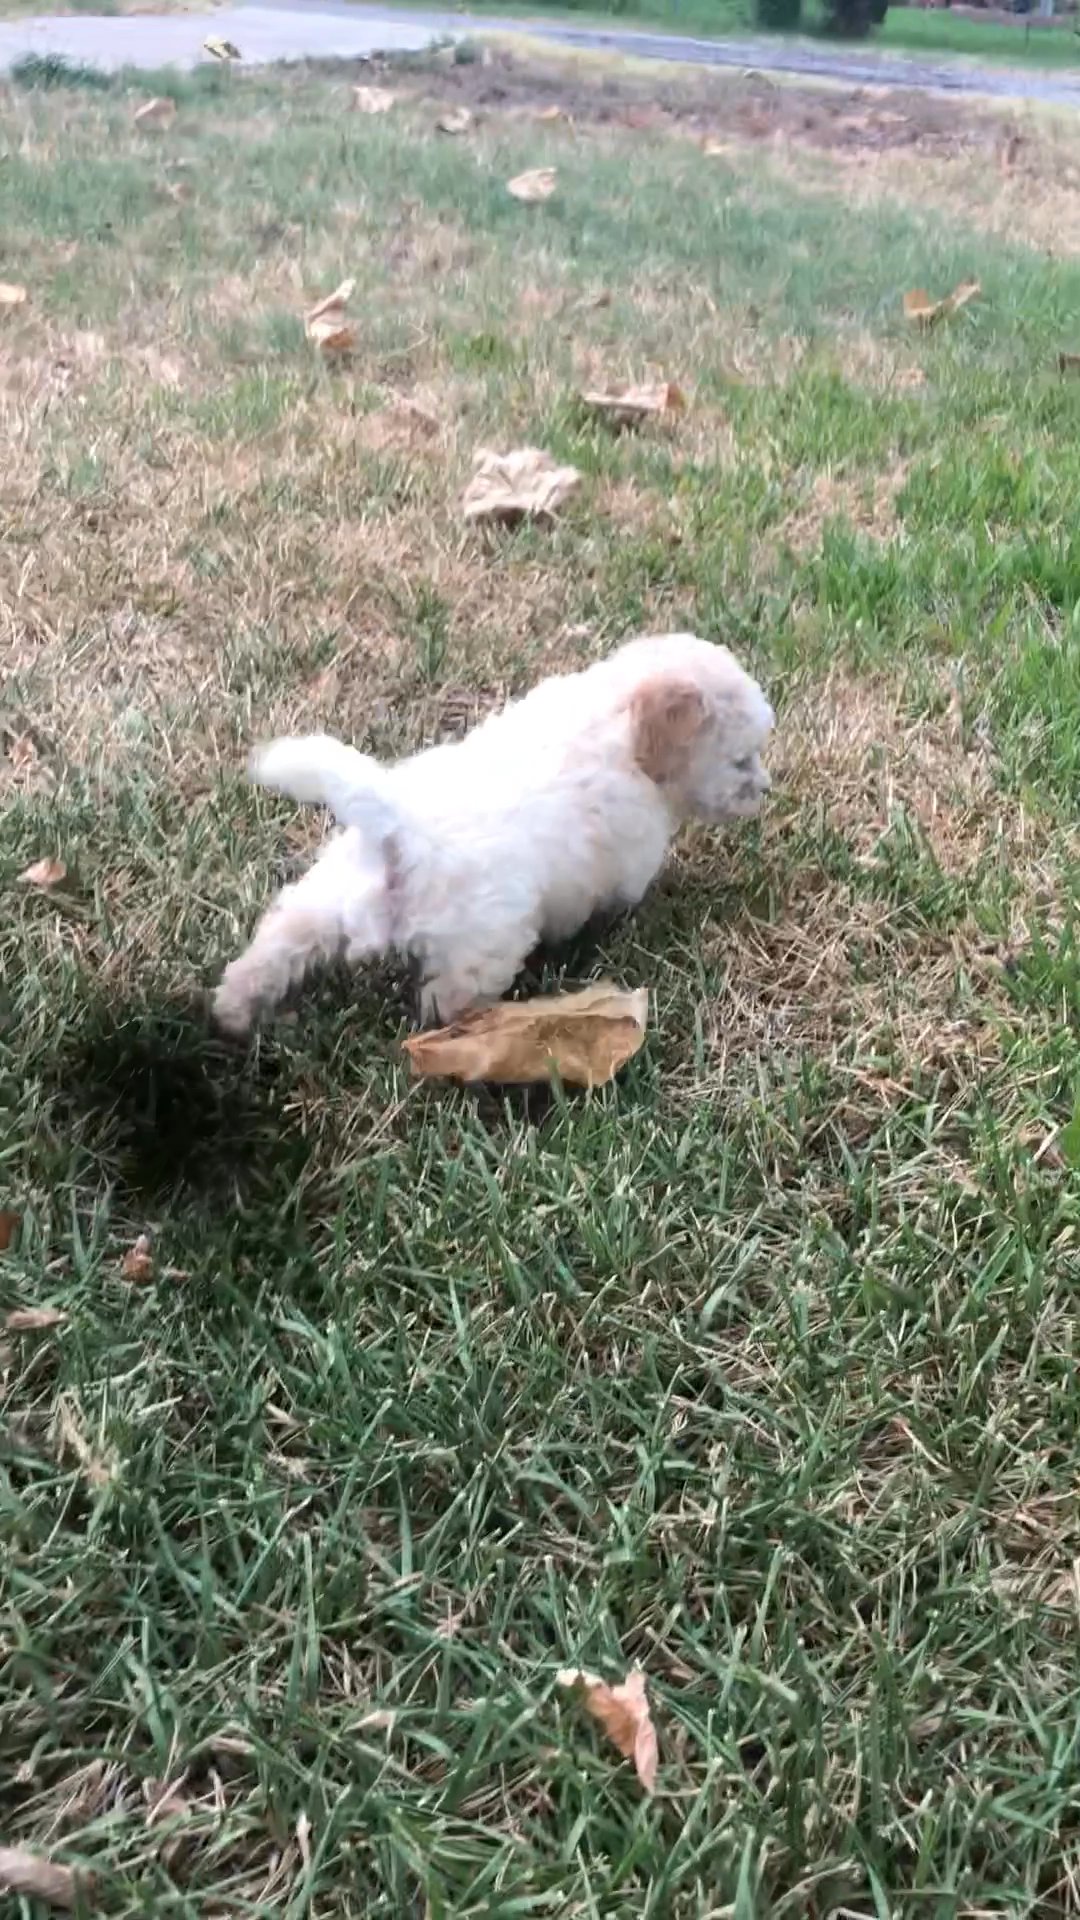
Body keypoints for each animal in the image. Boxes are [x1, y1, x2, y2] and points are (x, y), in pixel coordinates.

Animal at [212, 633, 764, 1036]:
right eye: (742, 760)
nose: (765, 790)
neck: (620, 717)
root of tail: (400, 834)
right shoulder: (627, 858)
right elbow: (619, 898)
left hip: (323, 900)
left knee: (274, 951)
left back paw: (231, 1013)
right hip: (481, 946)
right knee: (447, 998)